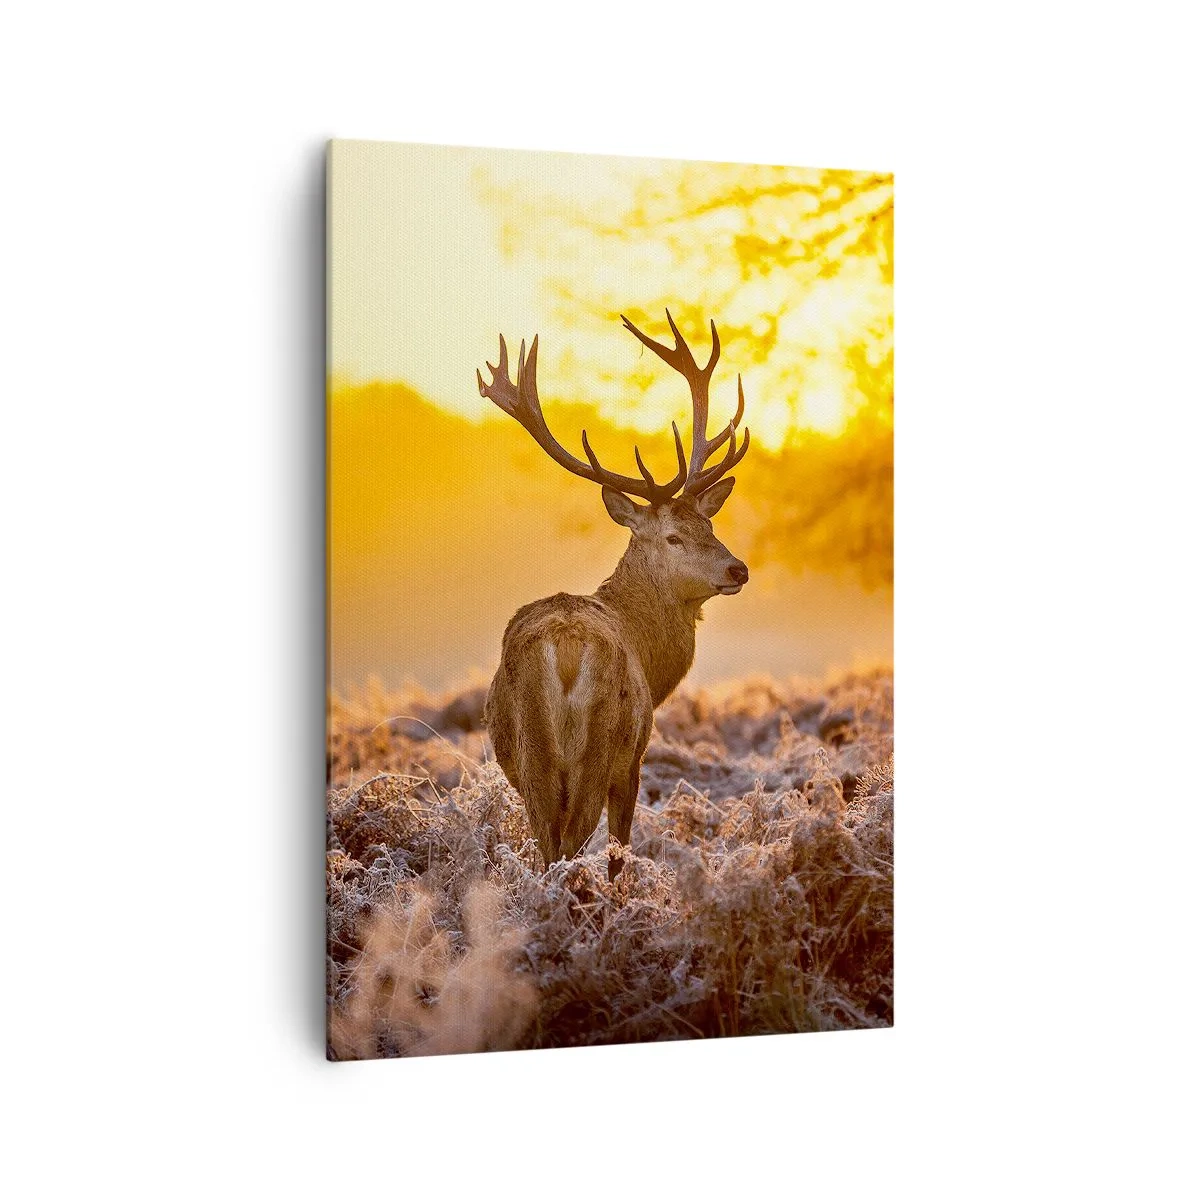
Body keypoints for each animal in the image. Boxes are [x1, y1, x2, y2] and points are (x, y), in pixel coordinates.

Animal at [477, 311, 751, 880]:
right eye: (673, 536)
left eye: (709, 524)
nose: (738, 568)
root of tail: (564, 652)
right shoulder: (635, 757)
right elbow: (619, 851)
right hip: (598, 747)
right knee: (572, 846)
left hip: (532, 755)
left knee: (548, 848)